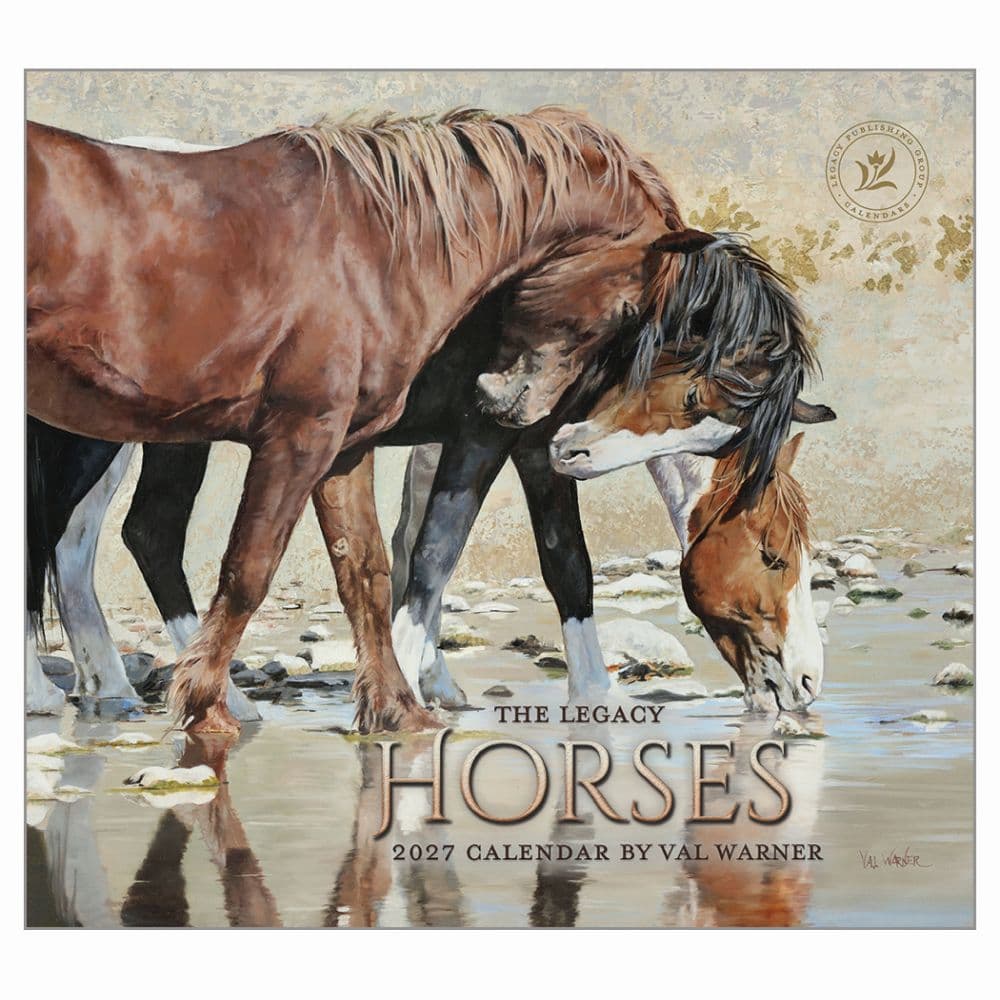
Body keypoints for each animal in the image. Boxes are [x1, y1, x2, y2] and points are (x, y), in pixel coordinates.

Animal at [28, 106, 704, 735]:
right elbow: (259, 568)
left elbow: (373, 570)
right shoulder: (309, 436)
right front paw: (204, 706)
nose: (511, 399)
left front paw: (399, 706)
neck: (375, 247)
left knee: (123, 535)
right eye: (629, 310)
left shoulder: (349, 446)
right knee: (85, 542)